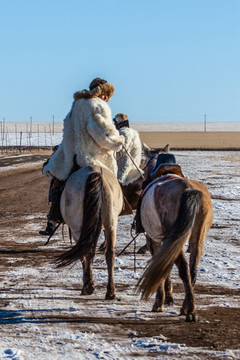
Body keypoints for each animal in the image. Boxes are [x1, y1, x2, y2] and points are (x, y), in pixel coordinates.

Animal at [56, 165, 124, 300]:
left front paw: (88, 284)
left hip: (78, 228)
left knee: (85, 251)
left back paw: (87, 287)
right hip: (111, 224)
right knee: (109, 253)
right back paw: (110, 292)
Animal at [136, 153, 213, 322]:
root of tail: (188, 188)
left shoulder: (154, 240)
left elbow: (160, 264)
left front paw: (160, 302)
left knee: (184, 268)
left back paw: (190, 311)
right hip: (197, 235)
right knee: (192, 269)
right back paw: (186, 307)